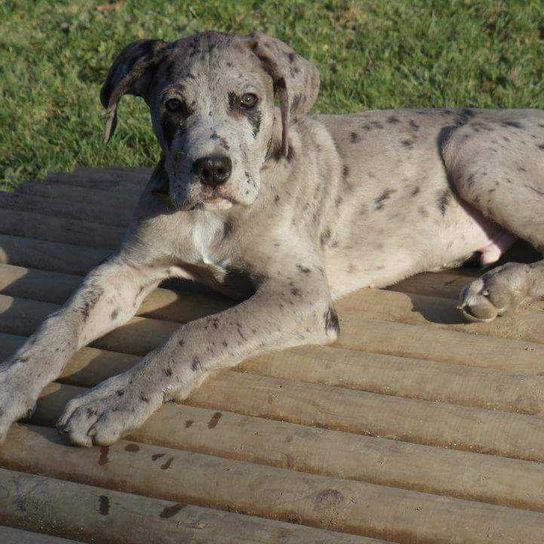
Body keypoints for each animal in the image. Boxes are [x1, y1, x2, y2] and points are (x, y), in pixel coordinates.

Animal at [1, 30, 544, 446]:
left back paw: (500, 288)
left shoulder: (302, 292)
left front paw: (114, 398)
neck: (215, 214)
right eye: (173, 106)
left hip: (469, 150)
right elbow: (60, 322)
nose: (211, 169)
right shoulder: (125, 269)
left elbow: (198, 331)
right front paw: (13, 383)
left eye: (248, 101)